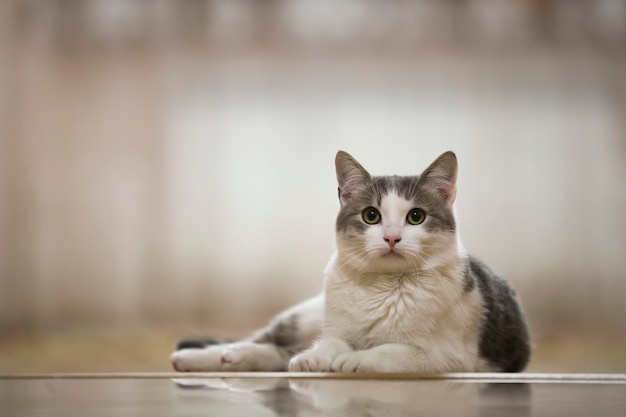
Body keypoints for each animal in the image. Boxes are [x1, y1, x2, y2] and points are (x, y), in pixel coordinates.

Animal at [172, 151, 532, 372]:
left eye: (416, 217)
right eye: (371, 215)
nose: (391, 237)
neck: (383, 289)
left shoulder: (447, 357)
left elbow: (395, 351)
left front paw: (356, 359)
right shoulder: (335, 328)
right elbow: (331, 342)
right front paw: (318, 357)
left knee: (277, 353)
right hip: (306, 316)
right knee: (265, 342)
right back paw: (202, 356)